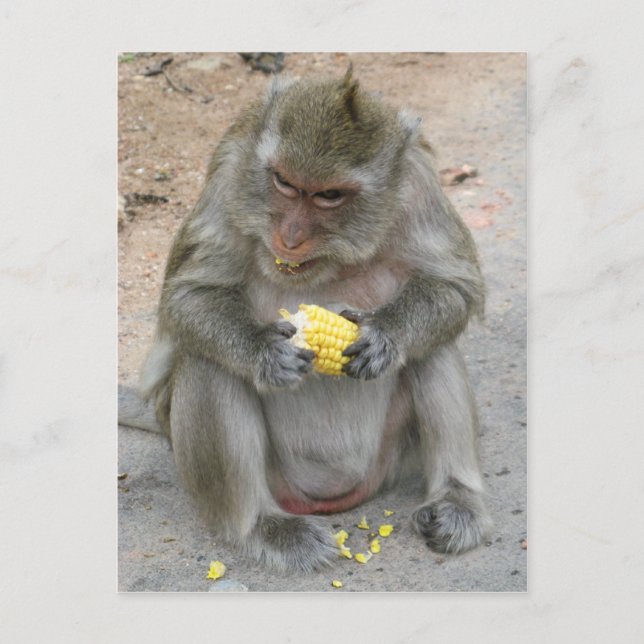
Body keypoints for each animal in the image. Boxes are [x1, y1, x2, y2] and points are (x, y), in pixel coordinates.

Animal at [119, 67, 493, 572]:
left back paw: (456, 501)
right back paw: (262, 526)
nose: (291, 236)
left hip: (391, 458)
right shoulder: (230, 169)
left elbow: (454, 284)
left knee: (433, 350)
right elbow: (188, 296)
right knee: (206, 362)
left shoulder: (419, 183)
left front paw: (386, 335)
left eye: (329, 195)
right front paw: (263, 351)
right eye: (284, 183)